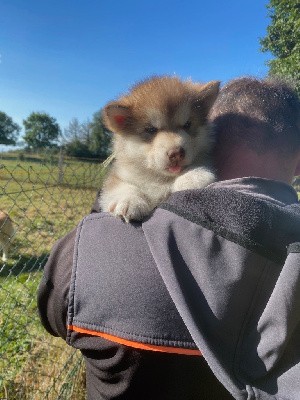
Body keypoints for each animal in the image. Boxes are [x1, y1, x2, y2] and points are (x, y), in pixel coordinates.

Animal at [99, 76, 219, 222]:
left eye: (187, 124)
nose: (176, 153)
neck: (159, 179)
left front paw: (193, 176)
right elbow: (120, 185)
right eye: (151, 129)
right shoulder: (119, 175)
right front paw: (128, 200)